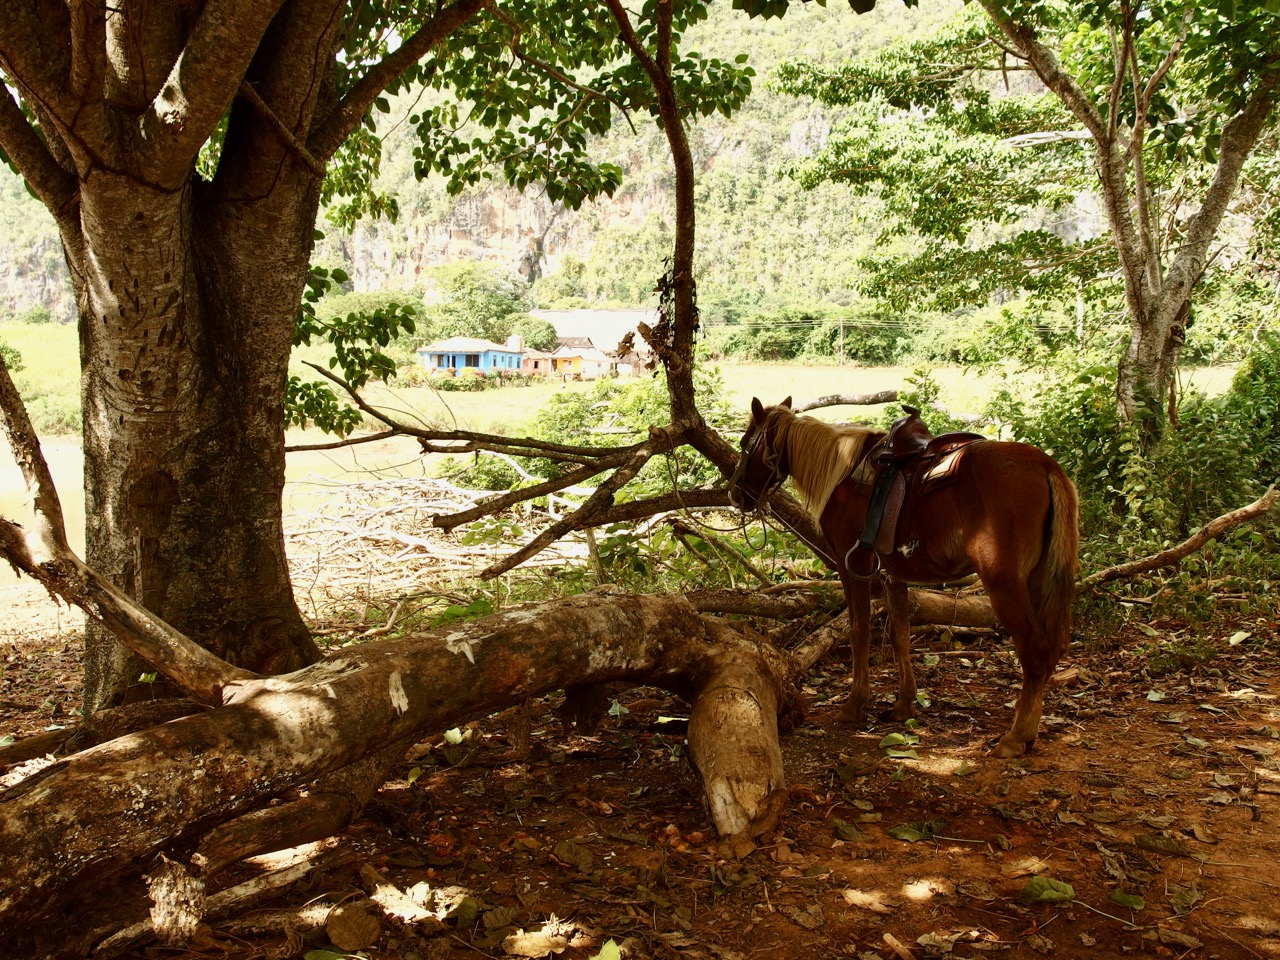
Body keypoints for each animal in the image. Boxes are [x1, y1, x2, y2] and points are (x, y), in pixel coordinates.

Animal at [727, 399, 1075, 757]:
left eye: (745, 442)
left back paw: (1016, 736)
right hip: (1036, 581)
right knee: (1051, 650)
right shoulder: (893, 575)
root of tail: (1047, 466)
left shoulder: (852, 566)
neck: (843, 472)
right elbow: (900, 635)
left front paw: (854, 704)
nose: (735, 495)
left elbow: (859, 632)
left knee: (1035, 650)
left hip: (1003, 582)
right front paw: (904, 704)